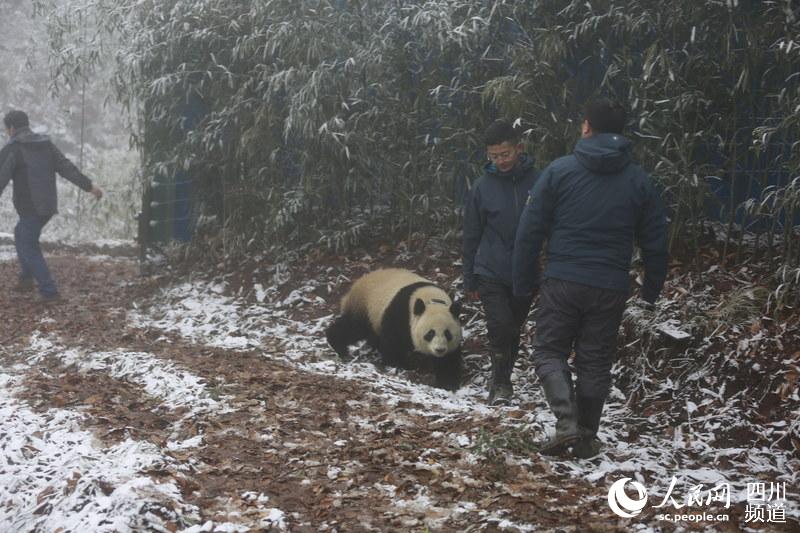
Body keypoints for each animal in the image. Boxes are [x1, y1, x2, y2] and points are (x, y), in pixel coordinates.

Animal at [324, 268, 462, 388]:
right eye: (430, 333)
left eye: (448, 334)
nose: (439, 350)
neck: (432, 301)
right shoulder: (401, 313)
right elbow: (393, 343)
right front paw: (400, 364)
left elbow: (449, 358)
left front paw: (447, 381)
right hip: (365, 306)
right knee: (353, 327)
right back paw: (339, 346)